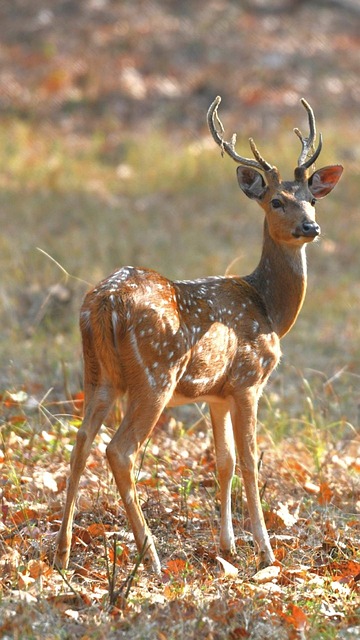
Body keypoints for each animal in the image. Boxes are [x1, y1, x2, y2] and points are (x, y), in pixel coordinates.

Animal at [55, 96, 344, 576]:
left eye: (310, 201)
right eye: (276, 201)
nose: (311, 228)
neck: (269, 308)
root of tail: (105, 304)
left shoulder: (217, 393)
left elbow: (223, 461)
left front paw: (227, 548)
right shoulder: (248, 381)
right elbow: (249, 462)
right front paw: (265, 553)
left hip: (97, 373)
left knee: (79, 443)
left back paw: (61, 553)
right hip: (155, 374)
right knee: (120, 450)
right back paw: (151, 557)